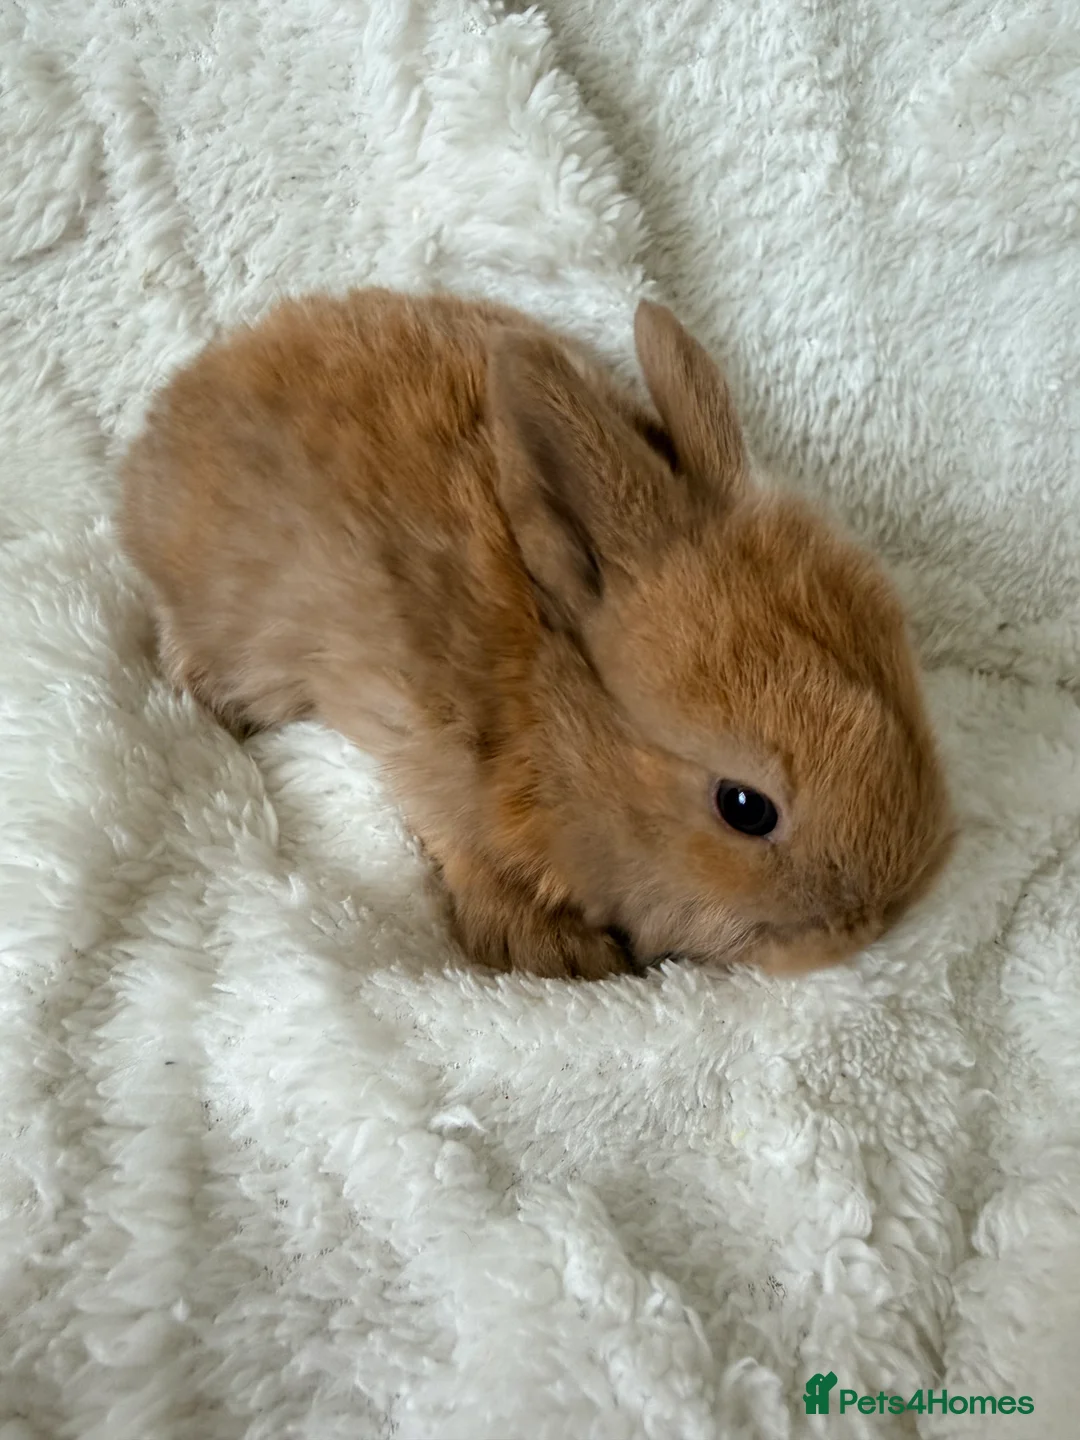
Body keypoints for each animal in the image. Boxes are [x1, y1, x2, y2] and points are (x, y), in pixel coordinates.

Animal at [118, 286, 954, 980]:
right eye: (745, 807)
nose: (875, 919)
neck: (551, 709)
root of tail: (164, 423)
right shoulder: (422, 742)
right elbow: (462, 847)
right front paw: (552, 952)